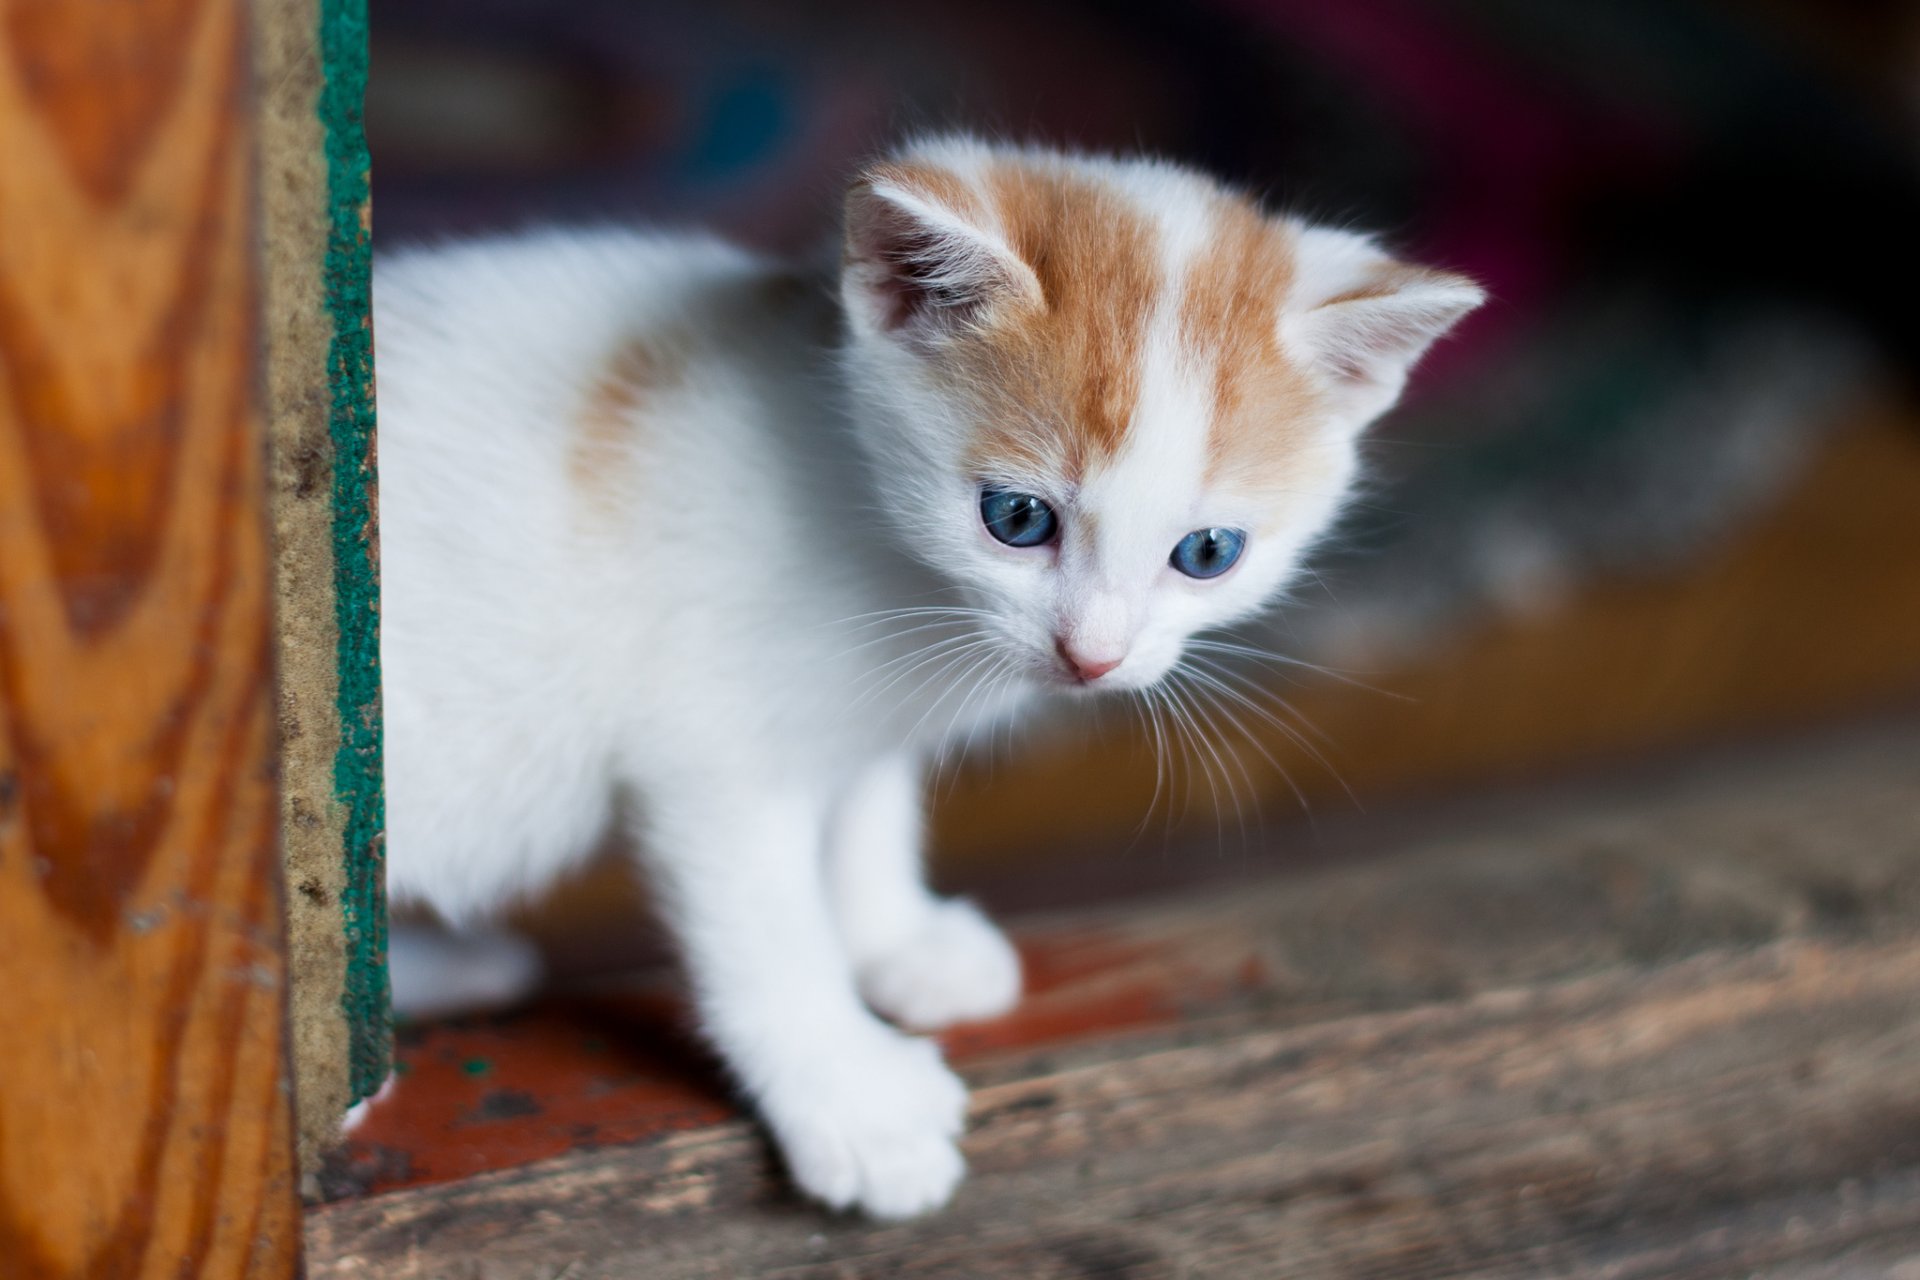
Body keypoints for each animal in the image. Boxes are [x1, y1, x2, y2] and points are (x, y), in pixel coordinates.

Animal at [374, 135, 1482, 1220]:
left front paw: (894, 939)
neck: (864, 522)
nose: (1093, 655)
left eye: (1207, 552)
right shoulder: (712, 753)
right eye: (1017, 518)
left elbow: (866, 807)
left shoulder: (862, 717)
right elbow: (767, 924)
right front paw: (853, 1096)